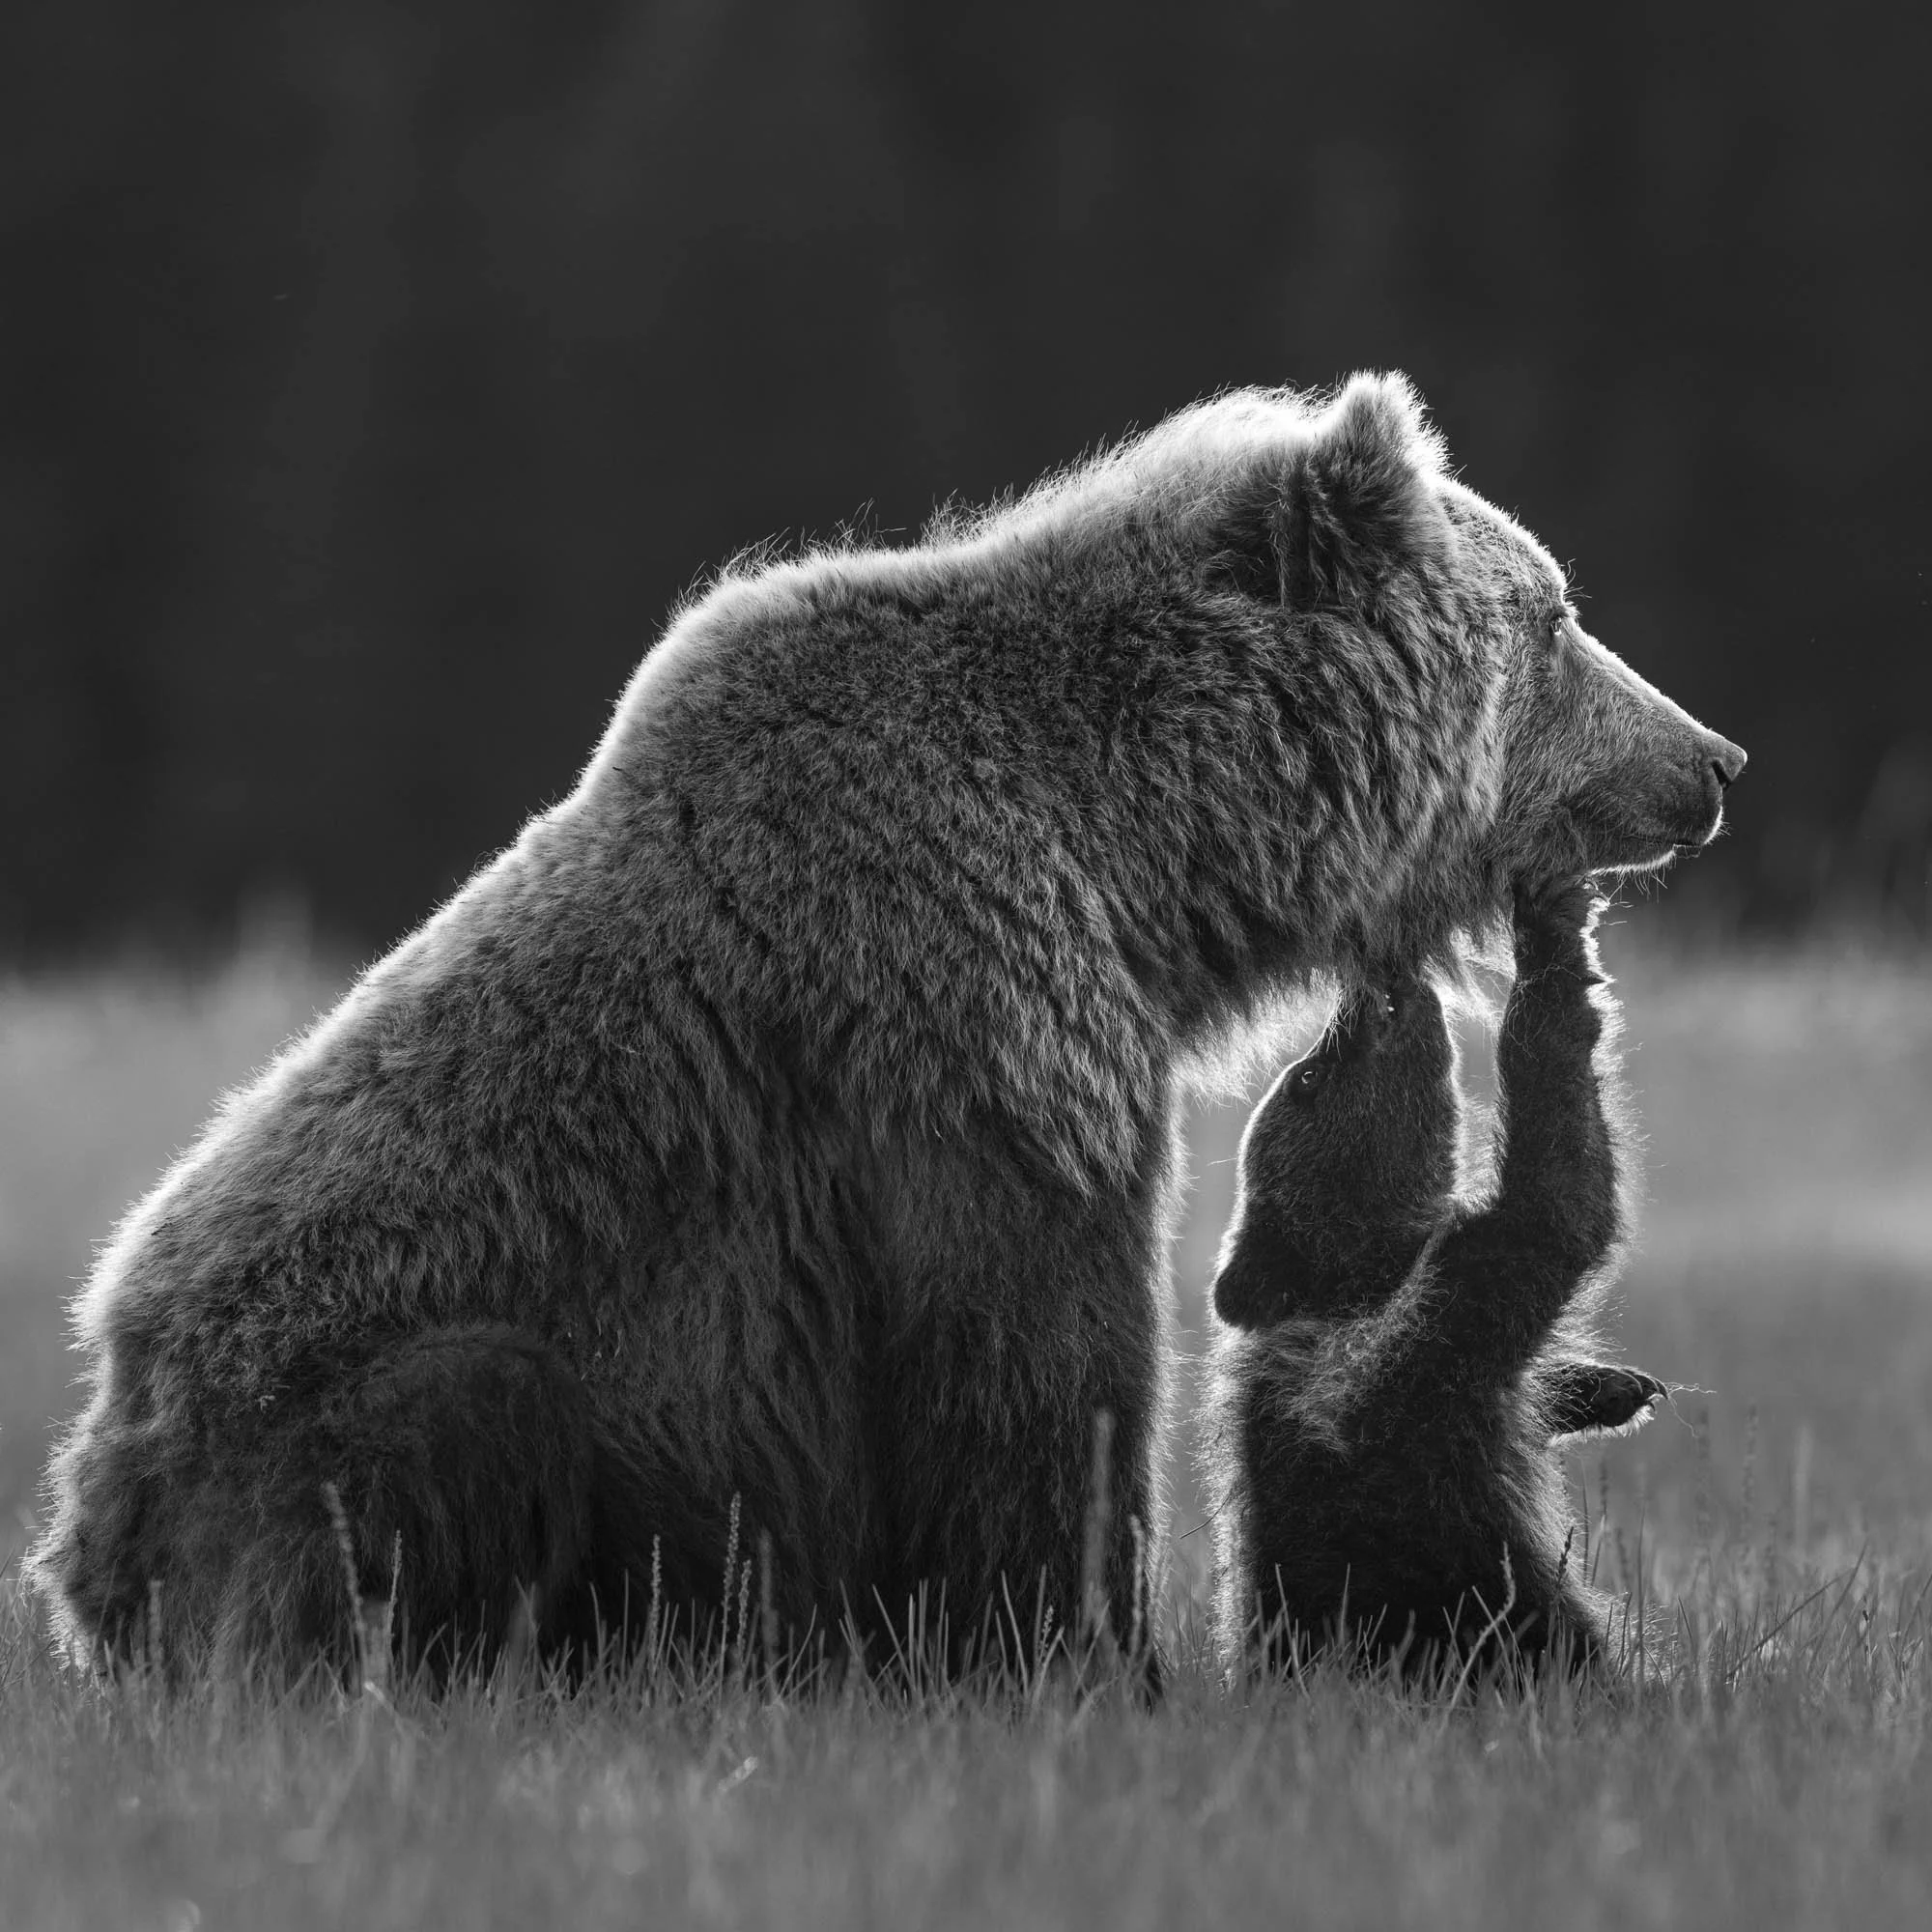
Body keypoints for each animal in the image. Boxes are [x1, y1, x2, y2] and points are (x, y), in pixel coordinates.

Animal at [1202, 875, 1658, 1675]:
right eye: (1308, 1076)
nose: (1365, 983)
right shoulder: (1429, 1341)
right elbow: (1557, 1200)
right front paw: (1554, 942)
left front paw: (1603, 1387)